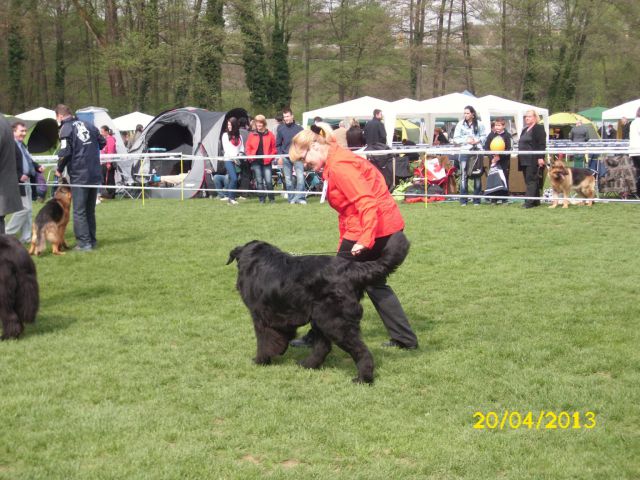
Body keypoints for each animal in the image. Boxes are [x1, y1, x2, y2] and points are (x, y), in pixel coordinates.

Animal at [226, 231, 410, 384]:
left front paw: (260, 360)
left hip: (334, 321)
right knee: (323, 347)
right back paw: (307, 364)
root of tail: (352, 270)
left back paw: (363, 379)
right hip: (321, 317)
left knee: (360, 350)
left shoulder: (260, 316)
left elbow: (264, 341)